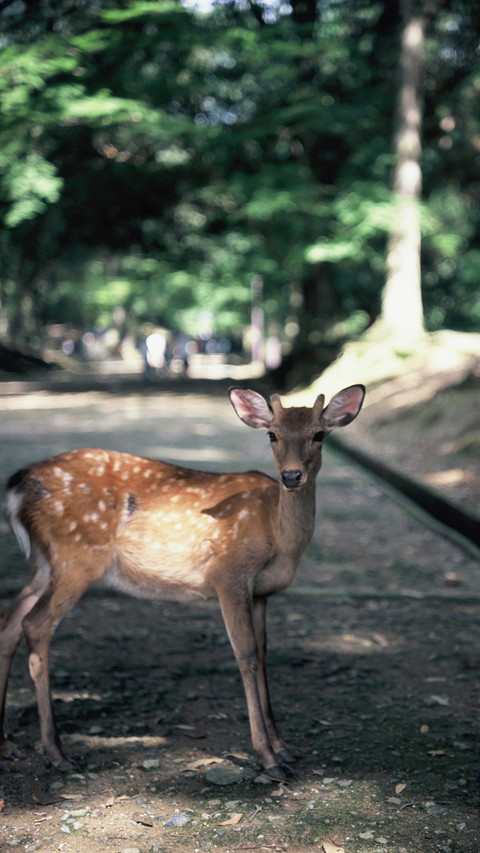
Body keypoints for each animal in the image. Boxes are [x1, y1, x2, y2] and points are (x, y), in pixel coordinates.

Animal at [0, 383, 365, 781]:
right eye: (272, 434)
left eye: (319, 434)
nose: (292, 476)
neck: (279, 539)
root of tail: (17, 486)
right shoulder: (229, 572)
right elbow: (246, 655)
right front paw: (268, 758)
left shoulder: (261, 592)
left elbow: (263, 652)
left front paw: (284, 747)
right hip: (76, 556)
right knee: (36, 624)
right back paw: (56, 752)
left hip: (45, 563)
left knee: (11, 621)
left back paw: (7, 738)